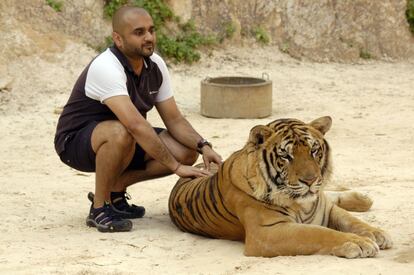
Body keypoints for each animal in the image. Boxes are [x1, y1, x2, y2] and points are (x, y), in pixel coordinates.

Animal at [167, 116, 392, 258]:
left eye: (314, 150)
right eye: (286, 155)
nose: (310, 181)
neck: (302, 204)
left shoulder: (326, 208)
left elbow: (351, 220)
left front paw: (377, 234)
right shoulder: (266, 232)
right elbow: (318, 233)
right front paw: (358, 243)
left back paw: (363, 199)